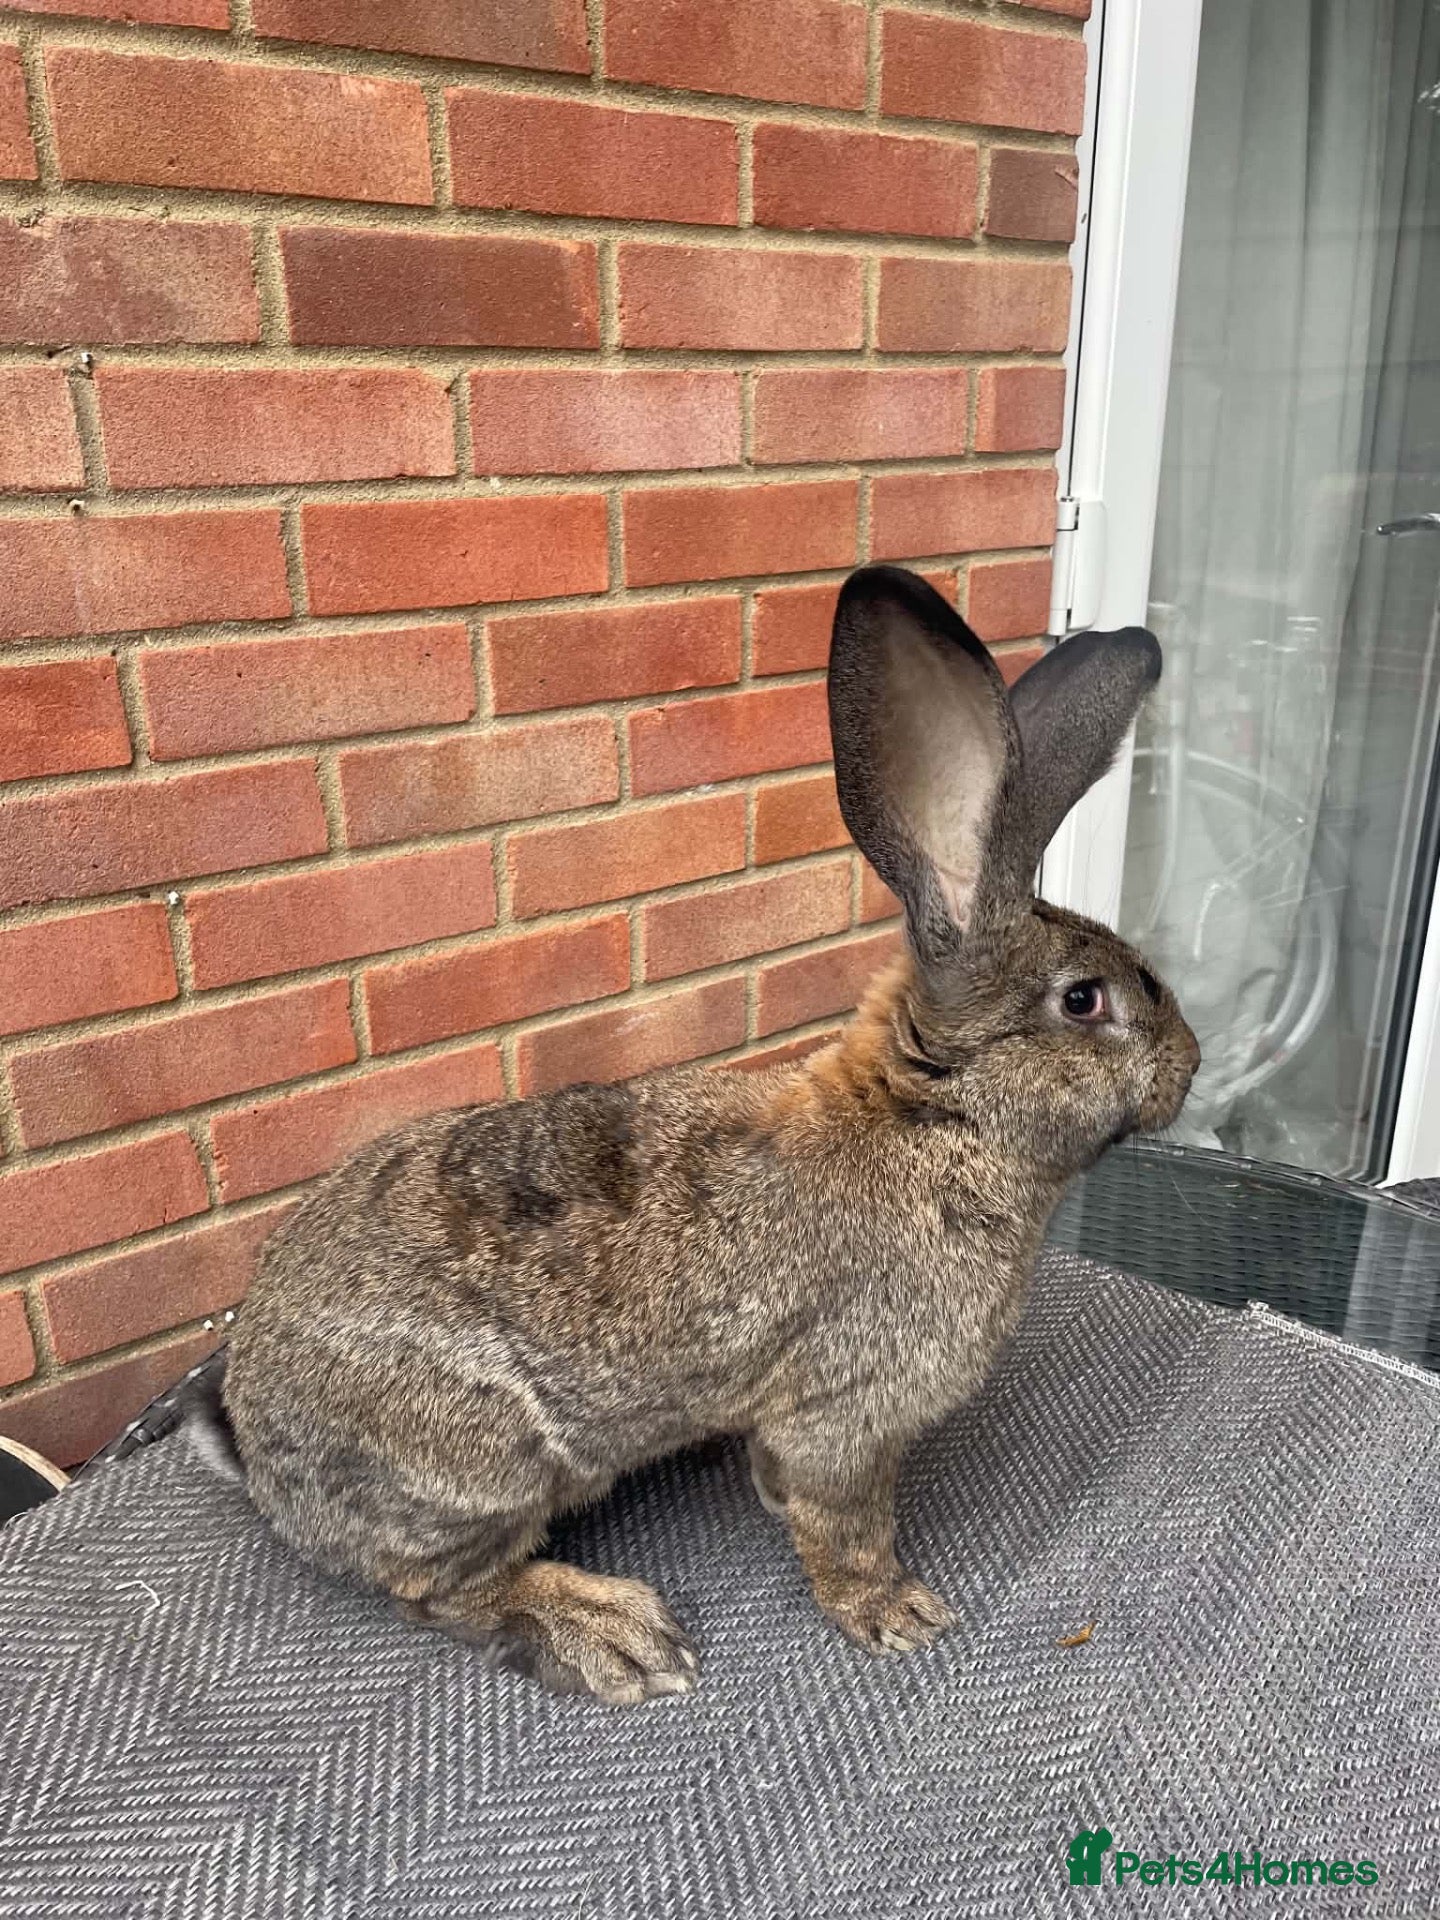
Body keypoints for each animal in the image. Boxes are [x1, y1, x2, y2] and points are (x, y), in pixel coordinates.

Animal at [211, 565, 1199, 1707]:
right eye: (1085, 1002)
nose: (1191, 1062)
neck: (931, 1118)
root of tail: (258, 1442)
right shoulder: (847, 1416)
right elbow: (845, 1526)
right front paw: (896, 1615)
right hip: (477, 1466)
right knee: (441, 1592)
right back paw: (614, 1634)